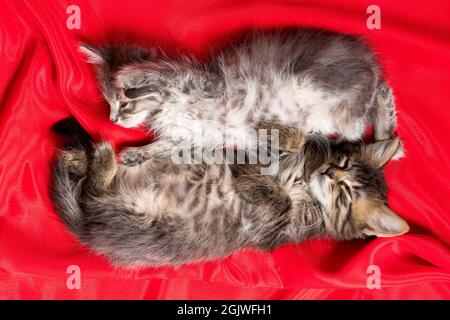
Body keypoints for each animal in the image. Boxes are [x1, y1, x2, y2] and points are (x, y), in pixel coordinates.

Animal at [50, 118, 408, 268]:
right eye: (342, 163)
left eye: (346, 194)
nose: (328, 173)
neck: (302, 182)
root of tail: (88, 230)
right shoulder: (261, 157)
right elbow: (290, 143)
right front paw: (282, 134)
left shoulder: (270, 229)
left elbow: (278, 201)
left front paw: (254, 186)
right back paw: (81, 158)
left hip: (138, 217)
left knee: (91, 194)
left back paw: (99, 158)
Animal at [79, 28, 400, 166]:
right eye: (109, 104)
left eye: (123, 103)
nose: (113, 119)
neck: (167, 109)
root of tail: (366, 57)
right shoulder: (197, 136)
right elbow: (166, 146)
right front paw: (138, 154)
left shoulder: (205, 82)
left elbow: (159, 74)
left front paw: (131, 77)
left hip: (313, 84)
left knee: (374, 99)